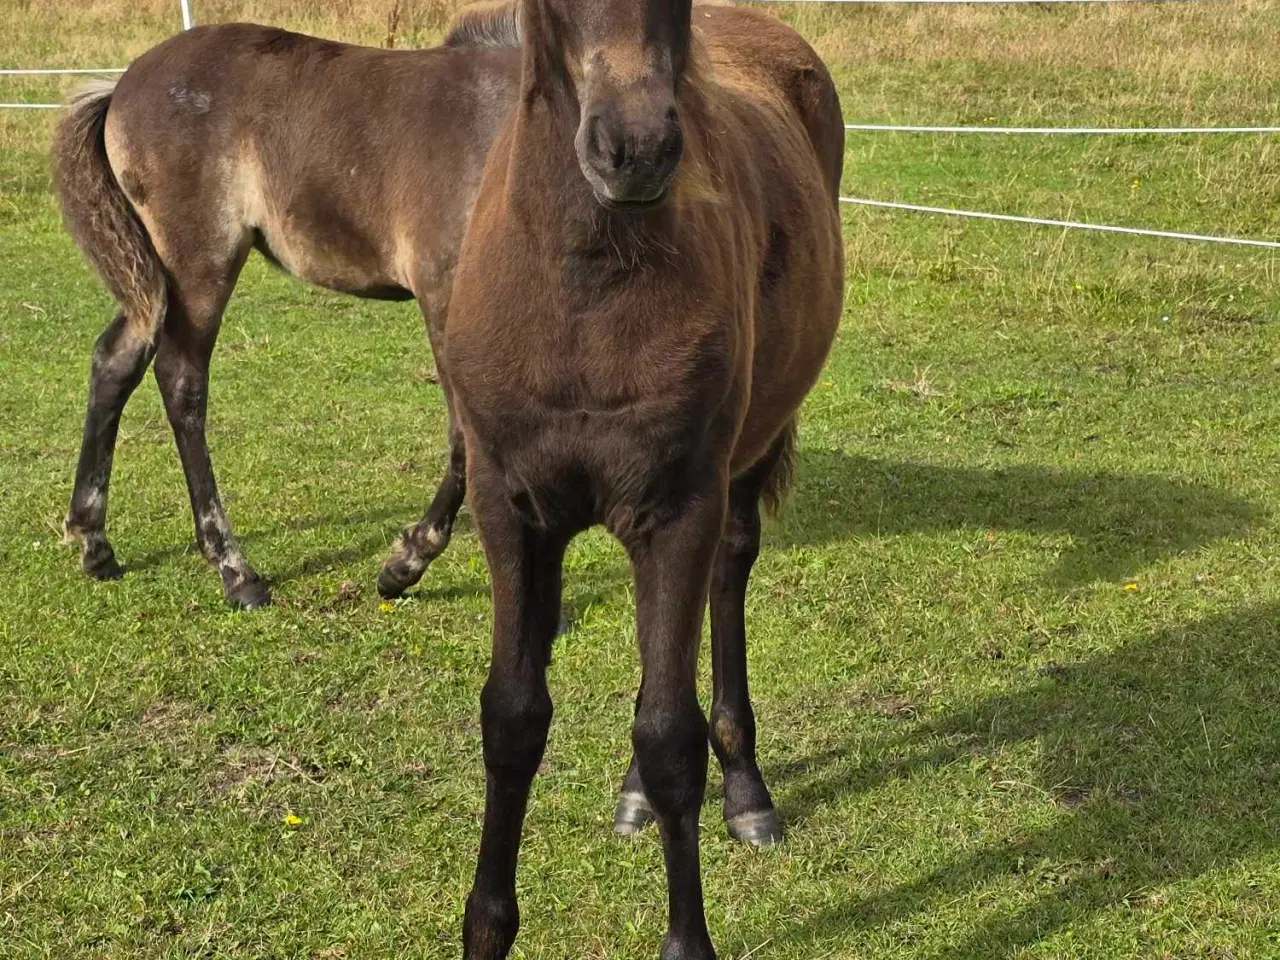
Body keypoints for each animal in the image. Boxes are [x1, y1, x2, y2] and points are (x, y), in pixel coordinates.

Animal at [48, 15, 519, 609]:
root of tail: (123, 83)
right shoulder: (444, 293)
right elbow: (466, 435)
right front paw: (404, 564)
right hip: (199, 264)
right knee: (181, 382)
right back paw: (234, 570)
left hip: (155, 281)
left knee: (115, 362)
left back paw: (95, 544)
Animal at [445, 1, 844, 957]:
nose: (636, 151)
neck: (583, 293)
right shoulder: (508, 507)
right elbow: (511, 717)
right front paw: (487, 925)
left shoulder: (679, 505)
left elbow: (670, 737)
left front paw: (688, 937)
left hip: (739, 462)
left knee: (727, 580)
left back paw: (747, 790)